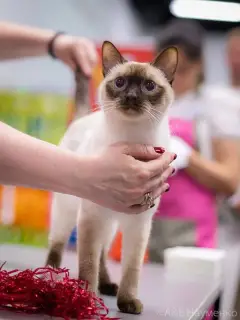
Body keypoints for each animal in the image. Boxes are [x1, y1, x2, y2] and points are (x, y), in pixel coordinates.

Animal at [46, 40, 177, 316]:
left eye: (149, 86)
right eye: (120, 83)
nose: (132, 97)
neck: (133, 139)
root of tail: (83, 117)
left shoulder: (138, 225)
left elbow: (131, 269)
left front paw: (127, 302)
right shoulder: (90, 218)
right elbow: (87, 265)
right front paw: (86, 300)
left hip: (111, 226)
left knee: (103, 254)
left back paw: (108, 286)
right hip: (70, 213)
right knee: (59, 244)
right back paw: (51, 275)